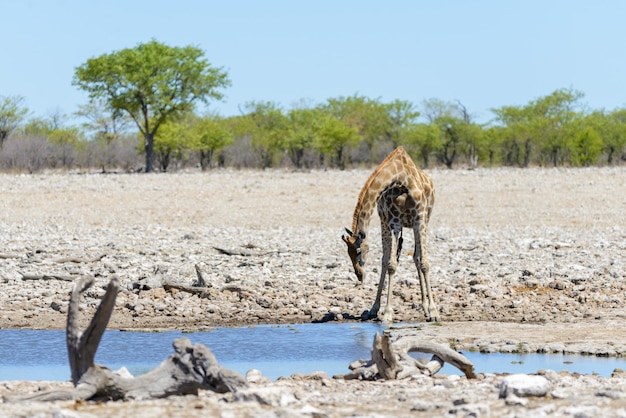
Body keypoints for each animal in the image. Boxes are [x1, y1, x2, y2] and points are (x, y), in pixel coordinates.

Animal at [342, 147, 438, 324]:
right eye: (347, 253)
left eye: (358, 251)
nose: (359, 275)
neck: (401, 178)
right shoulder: (394, 222)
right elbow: (391, 264)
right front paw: (386, 313)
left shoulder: (420, 219)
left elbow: (424, 263)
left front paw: (434, 311)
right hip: (384, 221)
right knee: (386, 260)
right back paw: (374, 309)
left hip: (423, 221)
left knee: (417, 257)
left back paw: (426, 307)